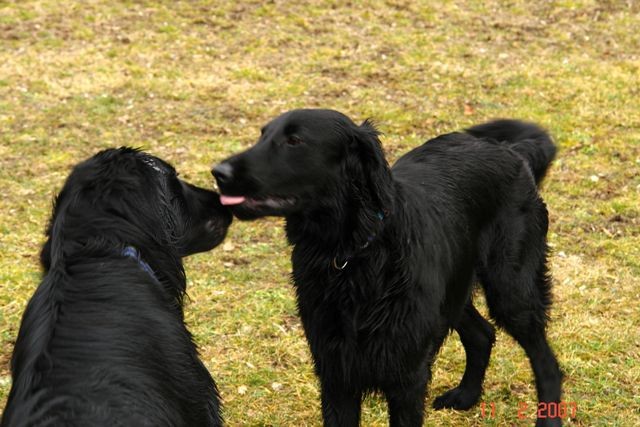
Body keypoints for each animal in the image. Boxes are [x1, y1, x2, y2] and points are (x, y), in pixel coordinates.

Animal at [214, 108, 560, 426]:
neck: (351, 256)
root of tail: (512, 151)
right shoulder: (336, 375)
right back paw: (466, 396)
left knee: (547, 363)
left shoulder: (406, 378)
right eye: (262, 135)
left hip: (511, 290)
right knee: (483, 334)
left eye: (294, 140)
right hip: (453, 291)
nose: (218, 172)